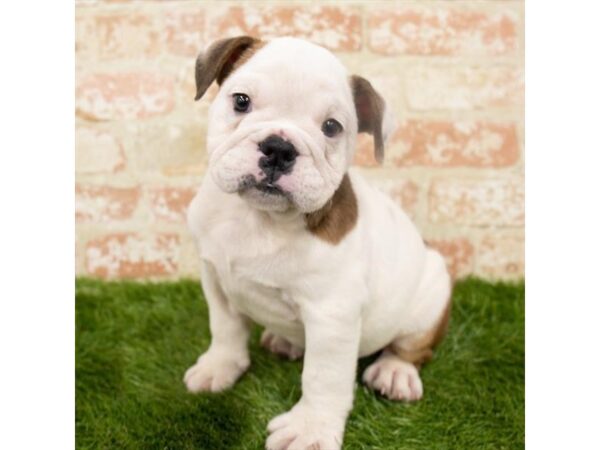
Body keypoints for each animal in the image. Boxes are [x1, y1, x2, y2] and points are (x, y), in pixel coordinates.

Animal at [183, 36, 450, 450]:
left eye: (331, 127)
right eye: (241, 101)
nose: (279, 147)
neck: (259, 219)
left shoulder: (332, 315)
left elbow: (323, 377)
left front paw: (310, 429)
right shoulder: (215, 280)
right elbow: (225, 329)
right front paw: (219, 367)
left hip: (431, 296)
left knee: (412, 346)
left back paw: (394, 372)